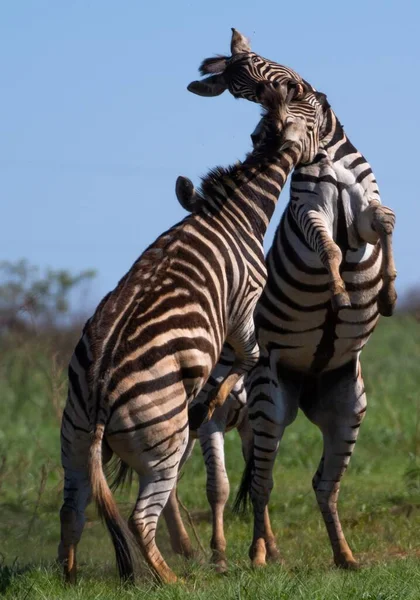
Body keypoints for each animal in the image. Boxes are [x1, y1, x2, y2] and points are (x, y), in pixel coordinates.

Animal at [56, 75, 324, 584]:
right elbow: (248, 358)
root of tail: (99, 396)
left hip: (74, 440)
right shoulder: (244, 306)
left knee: (72, 509)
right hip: (163, 444)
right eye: (315, 117)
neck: (231, 213)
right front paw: (213, 397)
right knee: (140, 518)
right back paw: (171, 579)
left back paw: (69, 577)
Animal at [165, 29, 398, 572]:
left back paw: (344, 557)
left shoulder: (367, 204)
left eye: (258, 64)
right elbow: (330, 248)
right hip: (269, 404)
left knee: (323, 485)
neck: (325, 156)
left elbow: (386, 222)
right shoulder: (312, 211)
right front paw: (340, 291)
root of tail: (307, 381)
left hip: (347, 407)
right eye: (239, 90)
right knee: (261, 483)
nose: (284, 101)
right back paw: (253, 554)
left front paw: (389, 291)